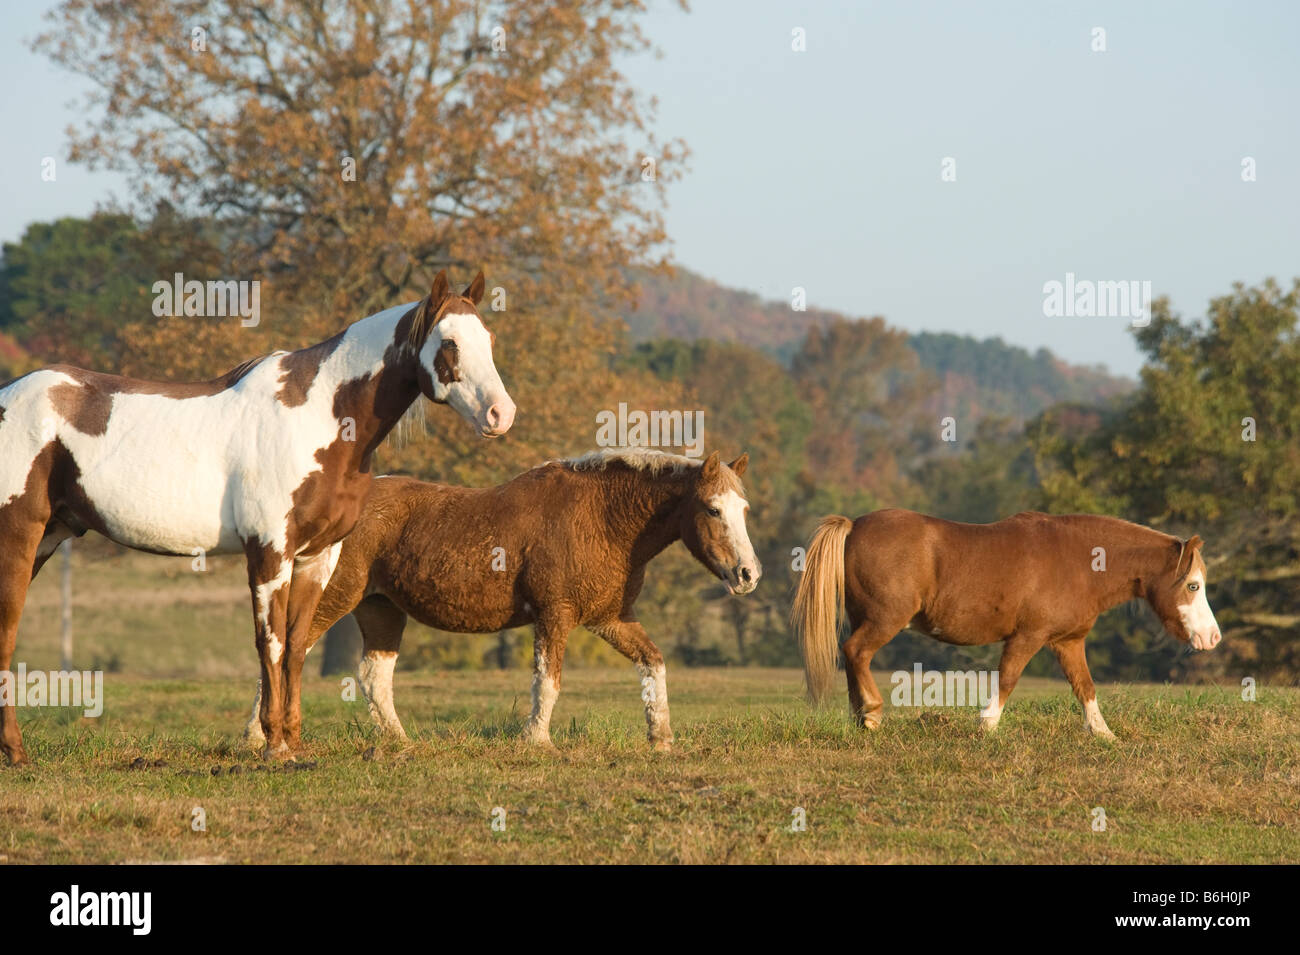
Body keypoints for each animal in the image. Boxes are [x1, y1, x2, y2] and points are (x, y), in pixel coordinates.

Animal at [0, 270, 514, 764]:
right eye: (450, 343)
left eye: (489, 338)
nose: (501, 414)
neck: (320, 418)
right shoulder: (269, 551)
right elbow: (273, 643)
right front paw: (274, 745)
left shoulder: (317, 557)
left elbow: (298, 646)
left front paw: (293, 743)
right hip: (19, 536)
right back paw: (18, 753)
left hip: (50, 535)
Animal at [244, 448, 760, 751]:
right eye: (712, 509)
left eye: (744, 508)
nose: (748, 575)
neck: (601, 518)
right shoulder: (555, 616)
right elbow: (547, 682)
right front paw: (537, 741)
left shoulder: (611, 619)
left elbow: (653, 665)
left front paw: (661, 737)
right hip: (334, 598)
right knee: (284, 650)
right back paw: (259, 737)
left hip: (381, 609)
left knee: (373, 676)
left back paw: (401, 742)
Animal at [792, 510, 1221, 738]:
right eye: (1193, 585)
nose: (1212, 637)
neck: (1080, 561)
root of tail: (854, 525)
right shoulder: (1027, 637)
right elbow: (1008, 678)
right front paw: (987, 724)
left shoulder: (1068, 642)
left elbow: (1085, 687)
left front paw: (1103, 733)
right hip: (885, 619)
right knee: (856, 652)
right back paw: (872, 712)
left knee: (852, 658)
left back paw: (860, 716)